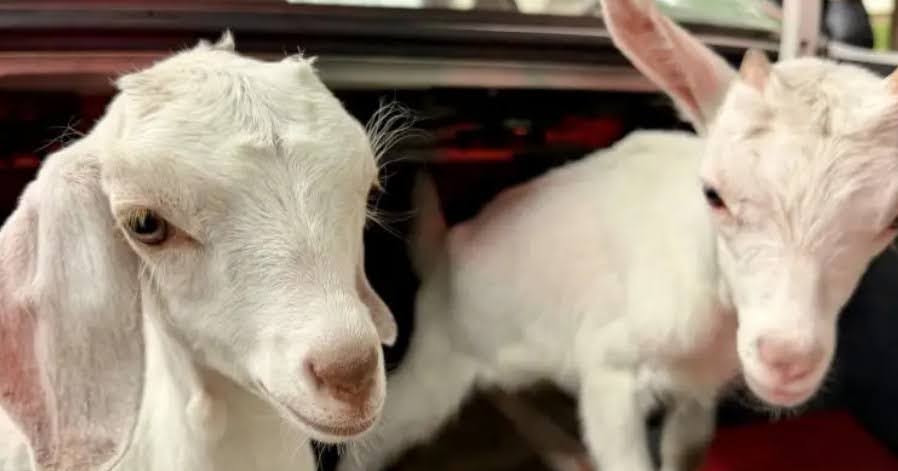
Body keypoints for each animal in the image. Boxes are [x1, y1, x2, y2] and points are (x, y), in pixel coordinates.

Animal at [338, 1, 898, 470]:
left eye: (891, 221)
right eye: (713, 193)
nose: (786, 360)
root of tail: (442, 251)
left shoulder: (699, 392)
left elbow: (684, 448)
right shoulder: (609, 372)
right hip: (439, 355)